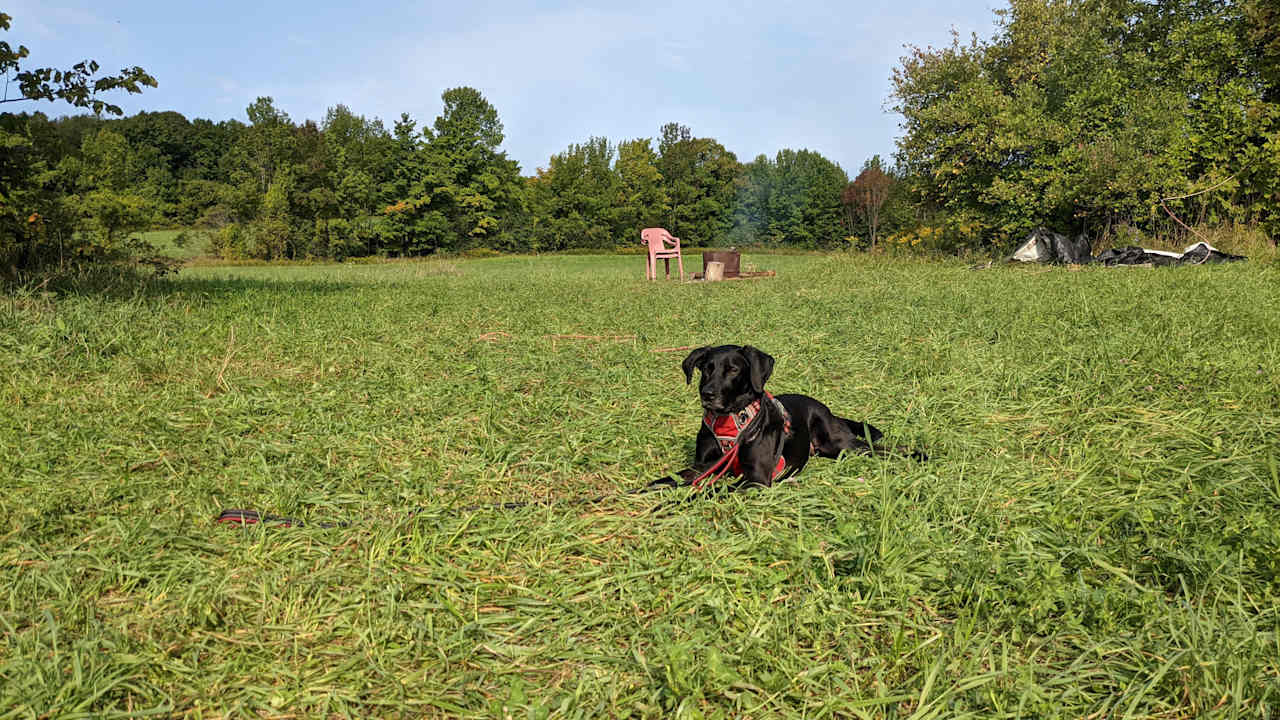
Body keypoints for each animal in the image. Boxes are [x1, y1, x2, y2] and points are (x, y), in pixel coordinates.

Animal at [655, 343, 916, 489]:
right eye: (706, 369)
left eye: (733, 370)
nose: (707, 394)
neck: (731, 421)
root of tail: (825, 408)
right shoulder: (704, 465)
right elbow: (672, 479)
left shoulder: (756, 478)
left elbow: (711, 491)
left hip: (842, 444)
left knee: (883, 449)